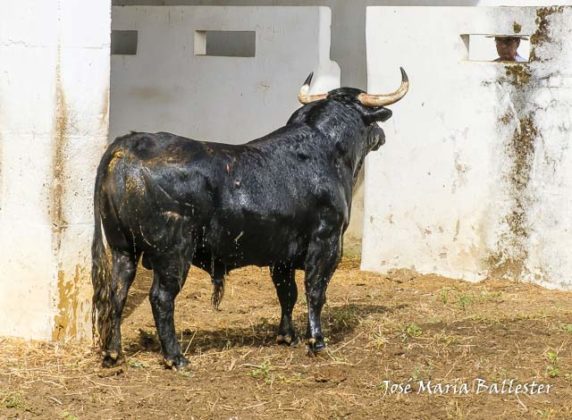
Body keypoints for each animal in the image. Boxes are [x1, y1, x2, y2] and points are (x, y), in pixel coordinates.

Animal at [91, 70, 408, 370]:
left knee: (116, 292)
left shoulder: (282, 255)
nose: (382, 135)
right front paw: (316, 341)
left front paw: (286, 336)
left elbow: (287, 293)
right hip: (173, 253)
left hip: (122, 249)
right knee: (160, 297)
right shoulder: (327, 241)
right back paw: (175, 357)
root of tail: (130, 144)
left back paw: (112, 353)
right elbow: (315, 291)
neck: (327, 152)